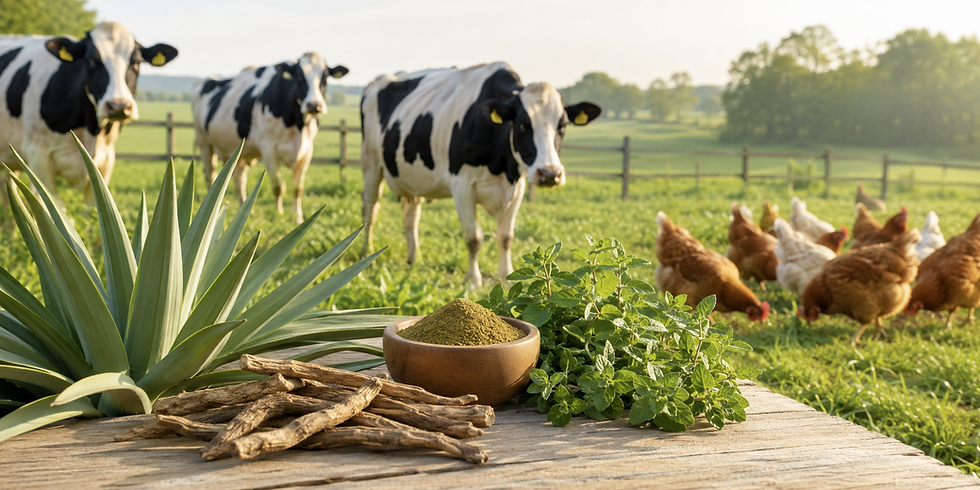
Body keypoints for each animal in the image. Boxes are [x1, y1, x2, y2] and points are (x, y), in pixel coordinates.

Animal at [0, 22, 177, 201]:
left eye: (137, 62)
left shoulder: (106, 161)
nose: (118, 106)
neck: (90, 131)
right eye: (91, 60)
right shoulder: (38, 157)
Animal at [192, 53, 348, 222]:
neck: (297, 124)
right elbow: (278, 186)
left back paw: (245, 209)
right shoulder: (268, 149)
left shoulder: (307, 150)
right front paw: (278, 214)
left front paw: (297, 217)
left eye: (324, 77)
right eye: (299, 76)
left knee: (239, 179)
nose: (314, 105)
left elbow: (297, 188)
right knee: (211, 174)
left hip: (239, 150)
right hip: (203, 141)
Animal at [360, 62, 601, 287]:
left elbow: (506, 237)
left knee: (411, 217)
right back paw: (367, 253)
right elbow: (473, 238)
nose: (550, 173)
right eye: (522, 125)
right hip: (370, 163)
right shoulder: (462, 187)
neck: (501, 167)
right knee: (370, 211)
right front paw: (473, 281)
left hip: (414, 179)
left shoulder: (517, 187)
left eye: (562, 126)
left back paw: (414, 258)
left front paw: (507, 276)